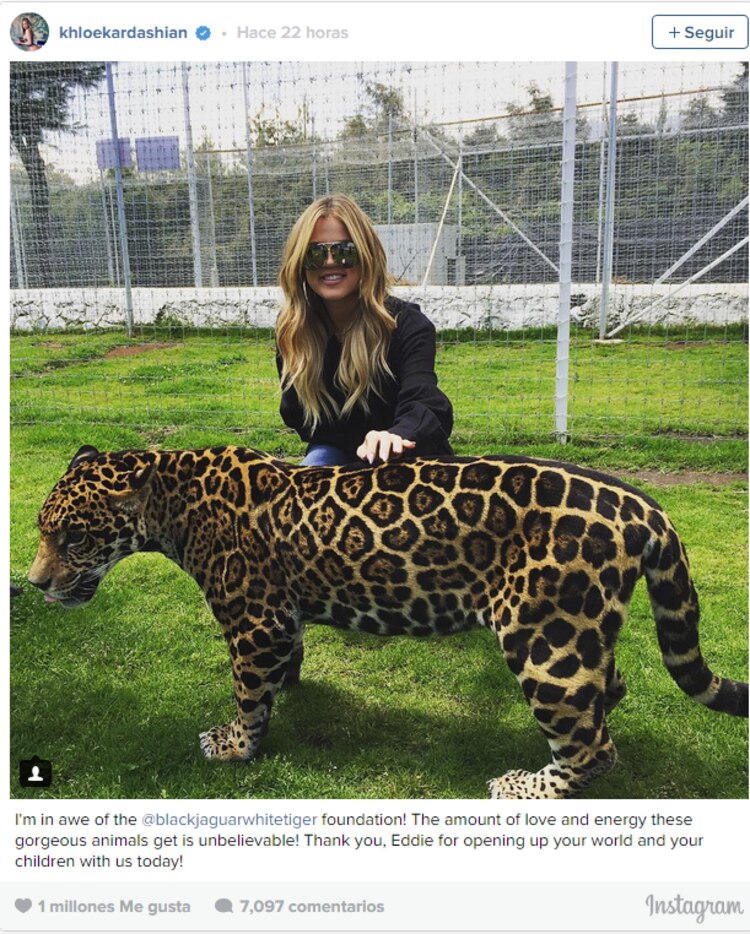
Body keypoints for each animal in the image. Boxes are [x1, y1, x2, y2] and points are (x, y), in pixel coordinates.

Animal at [28, 445, 748, 799]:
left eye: (72, 536)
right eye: (44, 529)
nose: (34, 584)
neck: (172, 504)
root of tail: (645, 507)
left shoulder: (254, 618)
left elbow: (245, 692)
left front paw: (235, 745)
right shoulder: (279, 618)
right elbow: (278, 670)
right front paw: (283, 690)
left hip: (543, 641)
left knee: (593, 745)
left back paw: (527, 786)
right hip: (578, 627)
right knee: (610, 690)